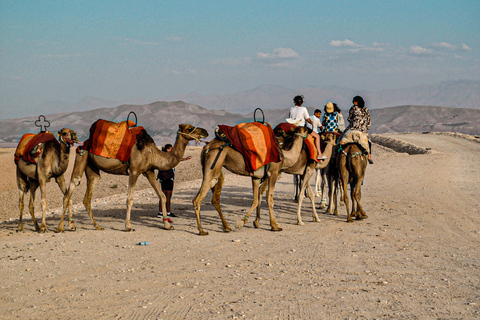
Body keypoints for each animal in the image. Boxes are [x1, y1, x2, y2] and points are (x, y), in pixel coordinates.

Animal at [56, 123, 208, 232]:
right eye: (190, 128)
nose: (205, 131)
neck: (153, 153)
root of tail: (82, 144)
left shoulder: (149, 171)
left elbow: (162, 196)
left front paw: (167, 225)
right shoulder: (134, 171)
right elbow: (129, 199)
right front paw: (128, 226)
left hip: (92, 168)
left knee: (87, 196)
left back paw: (96, 226)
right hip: (81, 157)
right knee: (69, 191)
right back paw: (63, 227)